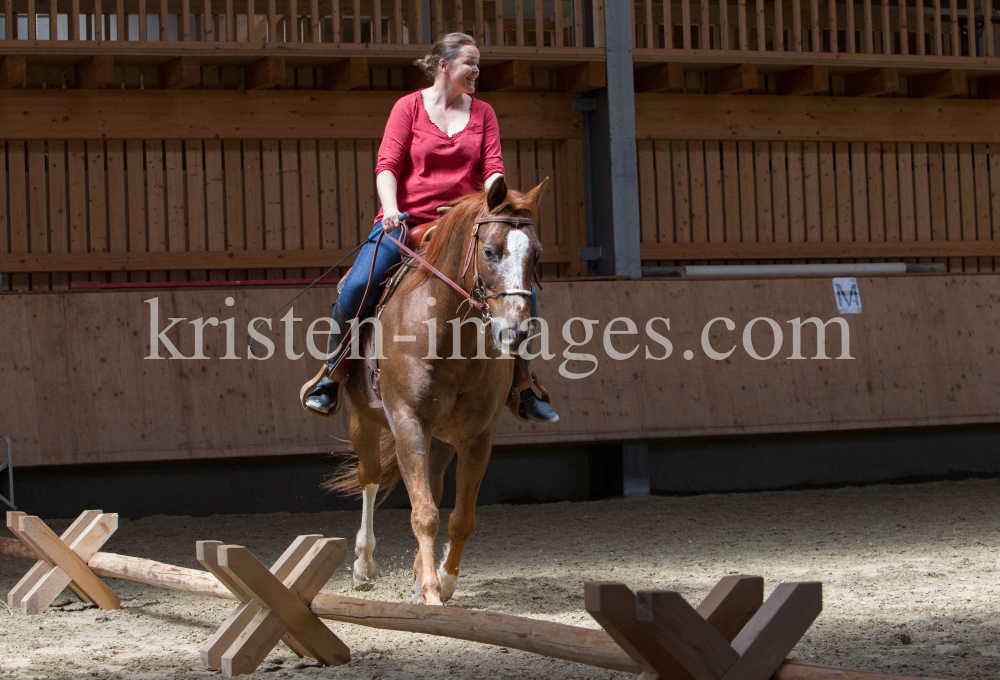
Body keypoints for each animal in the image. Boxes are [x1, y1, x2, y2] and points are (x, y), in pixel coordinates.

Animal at [326, 177, 548, 604]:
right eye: (490, 252)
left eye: (536, 255)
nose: (515, 333)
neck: (445, 333)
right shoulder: (408, 423)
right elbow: (424, 514)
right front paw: (430, 592)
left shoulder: (477, 436)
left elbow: (461, 518)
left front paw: (443, 581)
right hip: (364, 420)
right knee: (369, 477)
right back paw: (364, 566)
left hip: (442, 440)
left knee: (431, 484)